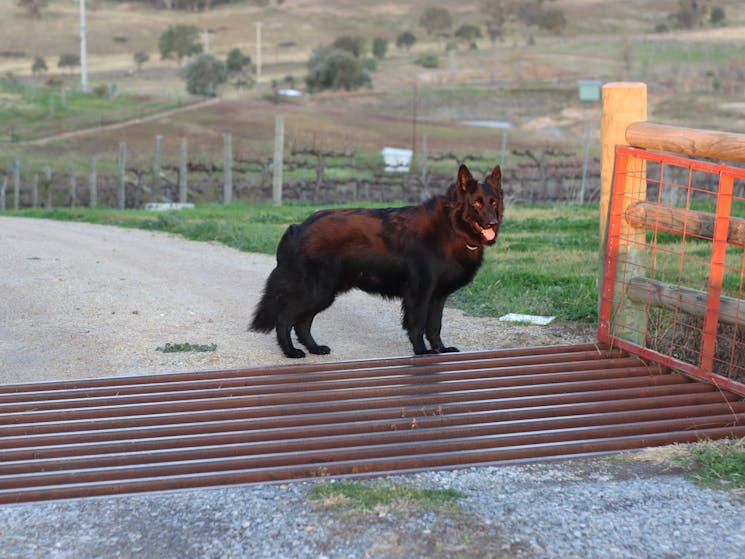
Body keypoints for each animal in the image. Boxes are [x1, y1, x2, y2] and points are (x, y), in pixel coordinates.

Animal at [251, 164, 506, 360]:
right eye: (476, 204)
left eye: (493, 202)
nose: (492, 223)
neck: (451, 227)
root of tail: (298, 226)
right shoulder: (420, 293)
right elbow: (418, 325)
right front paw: (422, 352)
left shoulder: (438, 296)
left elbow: (435, 326)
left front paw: (441, 350)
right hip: (316, 291)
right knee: (285, 318)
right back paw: (290, 352)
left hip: (323, 293)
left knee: (302, 322)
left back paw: (314, 348)